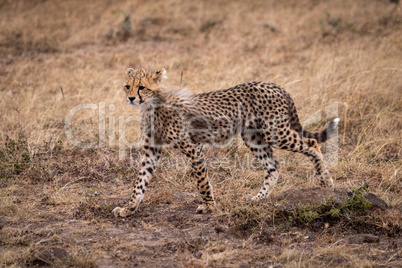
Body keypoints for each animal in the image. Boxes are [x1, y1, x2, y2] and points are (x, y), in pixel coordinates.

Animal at [112, 68, 340, 217]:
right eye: (127, 86)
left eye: (142, 87)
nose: (131, 98)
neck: (152, 106)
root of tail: (273, 84)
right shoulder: (151, 151)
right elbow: (140, 182)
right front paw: (129, 208)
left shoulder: (194, 148)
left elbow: (202, 181)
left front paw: (209, 206)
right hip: (253, 137)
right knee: (273, 167)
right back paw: (259, 198)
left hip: (276, 132)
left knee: (312, 143)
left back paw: (325, 182)